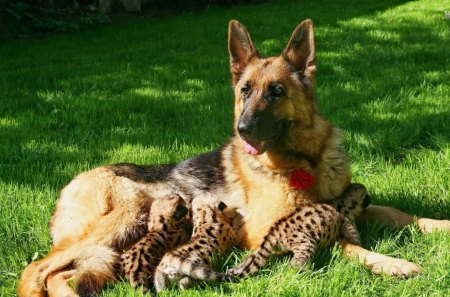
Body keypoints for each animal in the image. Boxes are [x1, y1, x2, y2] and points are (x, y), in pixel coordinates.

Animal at [18, 19, 450, 294]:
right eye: (244, 91)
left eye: (276, 92)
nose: (242, 130)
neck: (304, 161)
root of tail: (71, 182)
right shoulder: (270, 229)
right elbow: (346, 244)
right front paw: (392, 263)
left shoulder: (349, 204)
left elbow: (399, 213)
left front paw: (439, 225)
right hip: (121, 218)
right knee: (35, 271)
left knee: (61, 274)